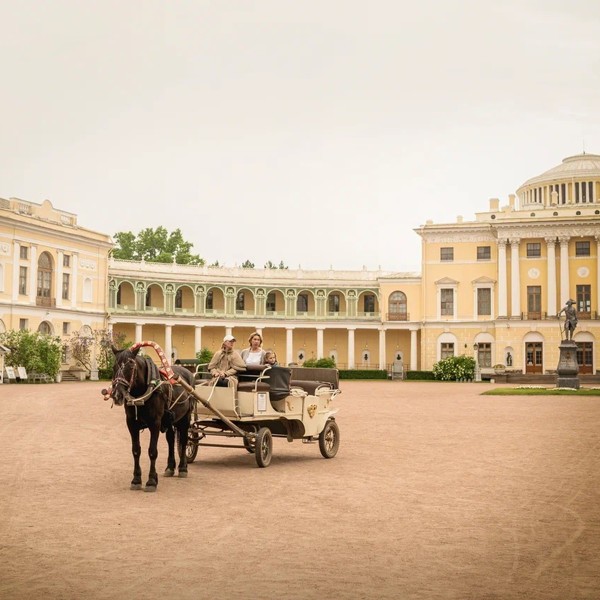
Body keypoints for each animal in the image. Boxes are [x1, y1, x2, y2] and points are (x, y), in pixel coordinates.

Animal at [109, 344, 195, 490]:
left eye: (131, 366)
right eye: (114, 367)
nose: (117, 395)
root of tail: (187, 371)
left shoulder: (155, 423)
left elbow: (152, 451)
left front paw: (151, 480)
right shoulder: (131, 424)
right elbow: (136, 450)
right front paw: (136, 479)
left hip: (185, 417)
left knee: (184, 440)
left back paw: (183, 468)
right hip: (169, 420)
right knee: (171, 440)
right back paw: (170, 467)